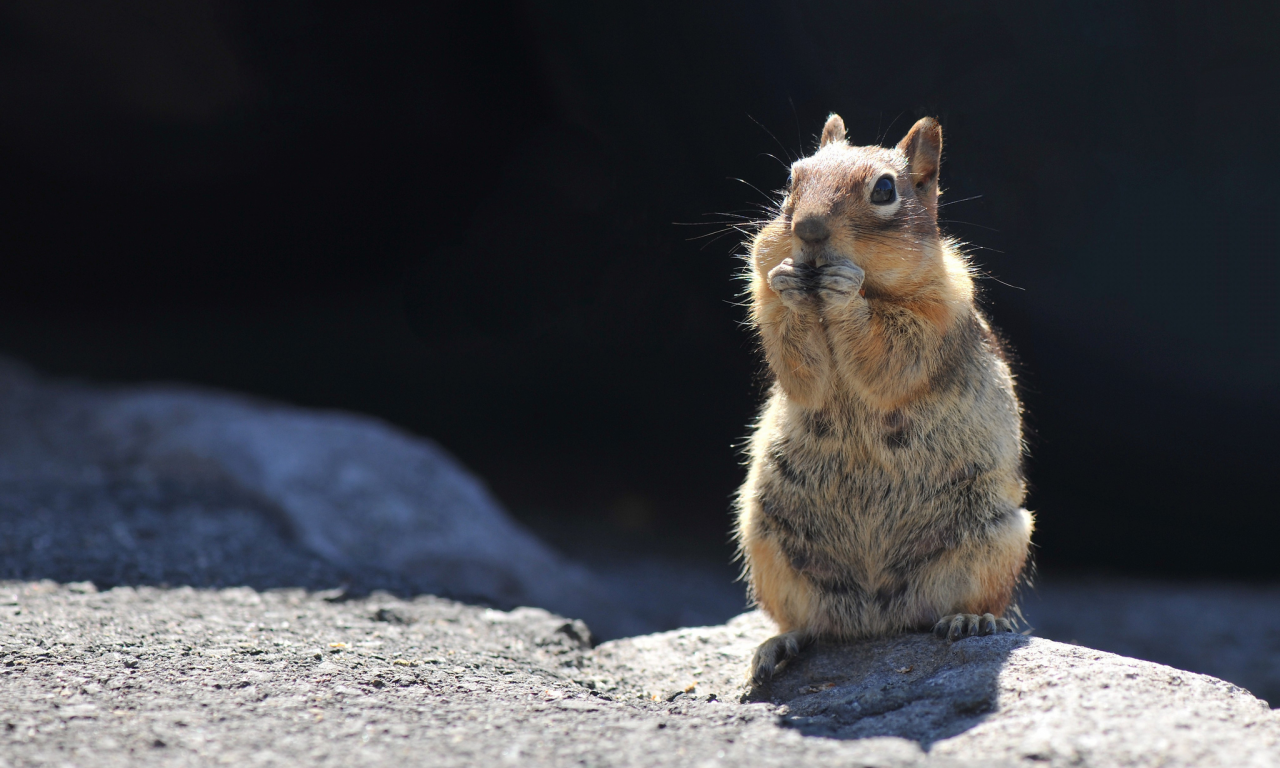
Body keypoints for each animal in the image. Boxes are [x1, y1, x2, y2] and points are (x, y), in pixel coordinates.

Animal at [737, 113, 1034, 686]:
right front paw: (789, 284)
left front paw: (847, 292)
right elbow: (798, 365)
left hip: (995, 536)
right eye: (792, 179)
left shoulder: (934, 313)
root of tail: (877, 618)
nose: (808, 230)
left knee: (973, 601)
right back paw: (777, 647)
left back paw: (970, 620)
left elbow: (891, 354)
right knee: (810, 623)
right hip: (766, 540)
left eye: (884, 190)